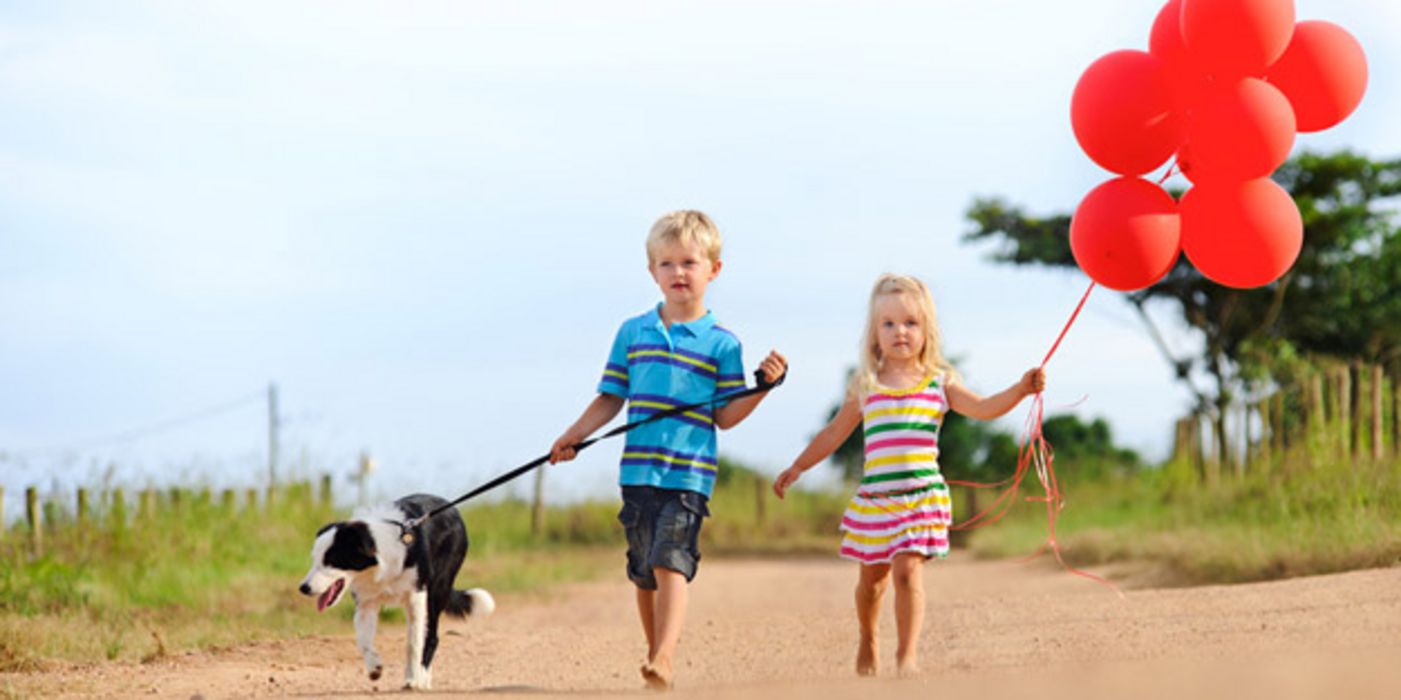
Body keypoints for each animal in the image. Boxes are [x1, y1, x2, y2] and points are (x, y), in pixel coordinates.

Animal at [298, 492, 495, 688]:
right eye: (314, 559)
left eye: (331, 560)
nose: (303, 588)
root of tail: (452, 507)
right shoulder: (366, 603)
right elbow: (363, 641)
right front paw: (374, 667)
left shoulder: (416, 596)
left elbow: (414, 643)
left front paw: (413, 679)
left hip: (437, 590)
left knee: (431, 637)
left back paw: (421, 676)